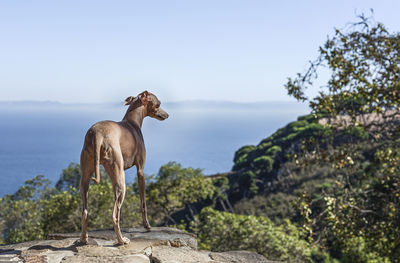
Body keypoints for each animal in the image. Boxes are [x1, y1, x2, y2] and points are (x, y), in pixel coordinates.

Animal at [79, 91, 169, 245]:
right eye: (158, 104)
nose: (167, 115)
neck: (132, 123)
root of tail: (97, 133)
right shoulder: (140, 171)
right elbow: (143, 203)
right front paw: (147, 225)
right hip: (120, 179)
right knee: (115, 215)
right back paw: (121, 240)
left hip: (86, 177)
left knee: (85, 211)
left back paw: (84, 239)